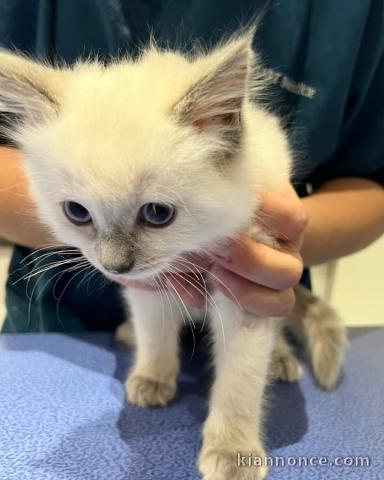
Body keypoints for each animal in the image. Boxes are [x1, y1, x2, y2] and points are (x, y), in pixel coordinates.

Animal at [0, 34, 346, 480]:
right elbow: (156, 336)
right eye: (77, 212)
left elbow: (239, 381)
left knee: (278, 329)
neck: (191, 252)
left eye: (157, 214)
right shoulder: (148, 287)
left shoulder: (249, 288)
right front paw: (152, 379)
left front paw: (232, 453)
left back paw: (281, 360)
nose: (114, 266)